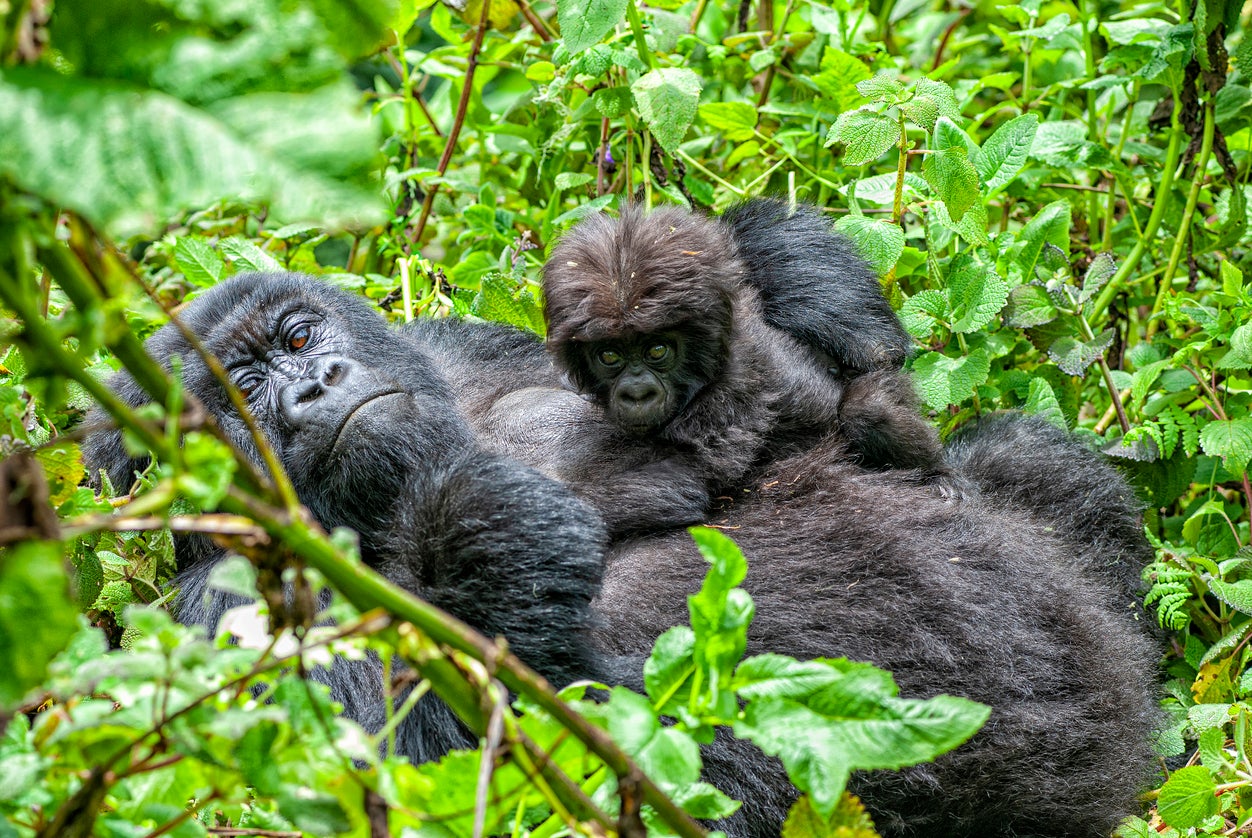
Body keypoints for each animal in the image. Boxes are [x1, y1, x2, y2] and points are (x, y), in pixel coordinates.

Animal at [83, 271, 1156, 831]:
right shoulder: (218, 619)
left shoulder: (464, 343)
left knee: (1022, 463)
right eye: (240, 393)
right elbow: (440, 781)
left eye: (299, 339)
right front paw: (485, 539)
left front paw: (795, 269)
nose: (315, 387)